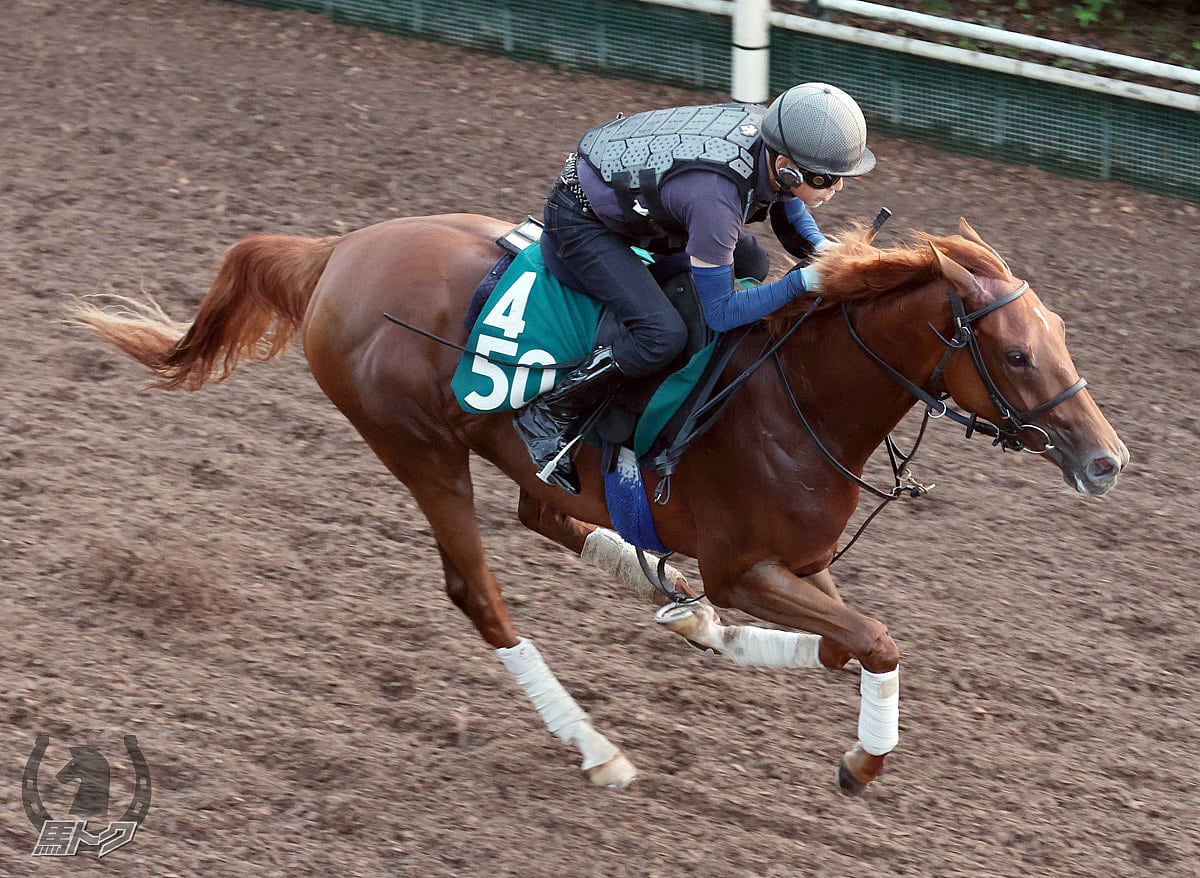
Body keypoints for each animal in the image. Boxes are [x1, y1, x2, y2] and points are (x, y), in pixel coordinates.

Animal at [72, 214, 1123, 796]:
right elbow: (873, 640)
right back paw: (597, 747)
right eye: (1017, 354)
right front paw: (861, 765)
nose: (1107, 461)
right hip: (421, 452)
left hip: (517, 460)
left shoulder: (799, 564)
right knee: (479, 594)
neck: (797, 398)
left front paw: (721, 638)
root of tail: (341, 251)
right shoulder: (742, 566)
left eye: (1061, 333)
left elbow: (848, 643)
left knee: (548, 517)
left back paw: (676, 614)